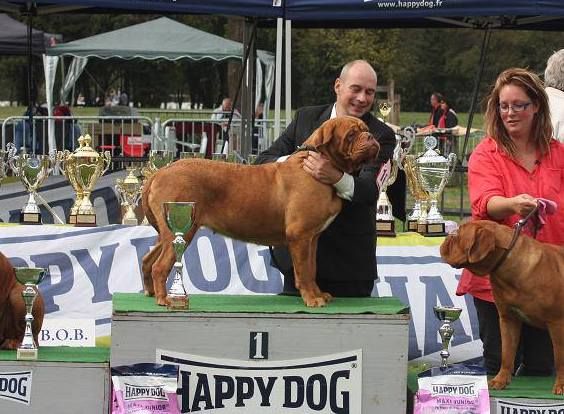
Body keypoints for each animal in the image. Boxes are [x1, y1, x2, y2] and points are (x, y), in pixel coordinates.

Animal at [141, 116, 378, 308]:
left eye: (366, 129)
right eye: (351, 134)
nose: (370, 136)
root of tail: (160, 172)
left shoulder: (312, 238)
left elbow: (312, 268)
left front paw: (319, 294)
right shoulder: (300, 235)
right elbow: (303, 270)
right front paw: (312, 299)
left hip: (169, 231)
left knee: (148, 259)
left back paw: (151, 292)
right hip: (181, 229)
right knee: (160, 266)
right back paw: (164, 299)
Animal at [440, 220, 564, 394]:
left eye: (458, 234)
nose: (446, 237)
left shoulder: (557, 323)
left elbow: (560, 358)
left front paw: (561, 385)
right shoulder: (508, 319)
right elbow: (506, 352)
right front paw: (500, 380)